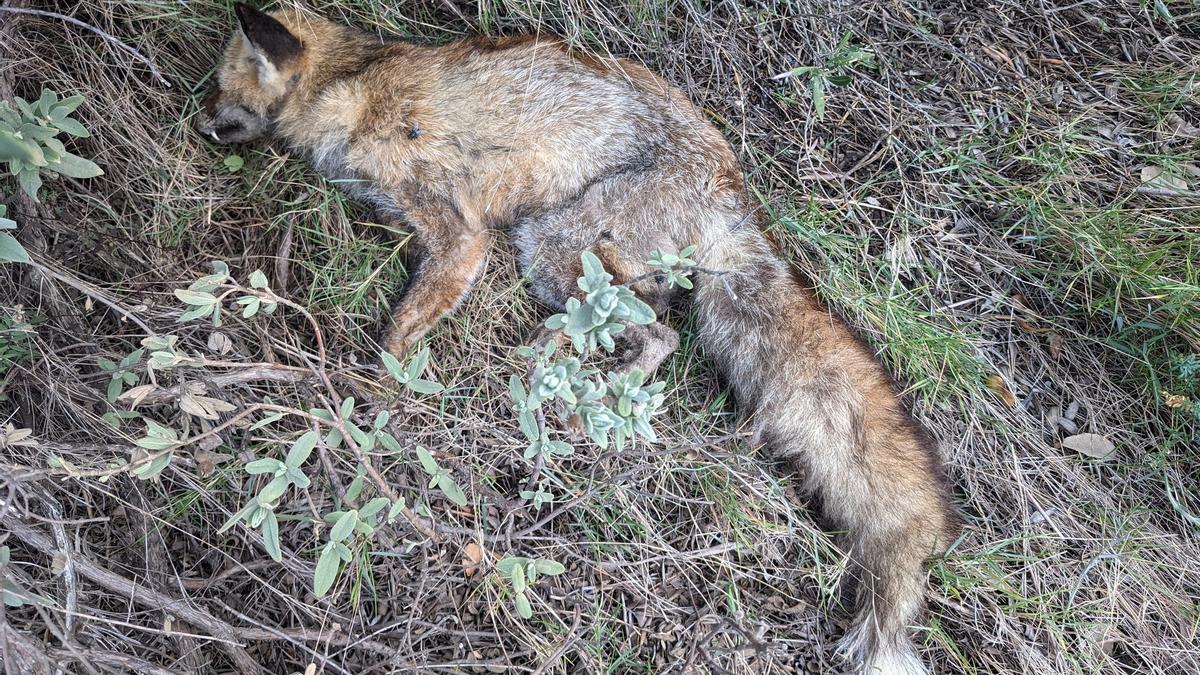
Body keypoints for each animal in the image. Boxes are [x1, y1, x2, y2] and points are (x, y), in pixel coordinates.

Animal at [201, 3, 960, 667]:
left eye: (221, 88)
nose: (203, 124)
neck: (352, 85)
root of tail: (732, 187)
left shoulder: (460, 234)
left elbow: (398, 336)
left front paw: (367, 400)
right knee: (655, 330)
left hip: (551, 247)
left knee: (657, 337)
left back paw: (546, 384)